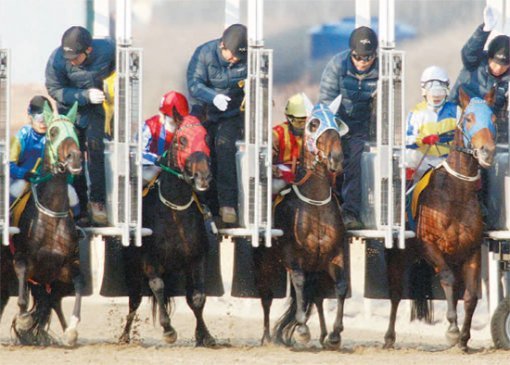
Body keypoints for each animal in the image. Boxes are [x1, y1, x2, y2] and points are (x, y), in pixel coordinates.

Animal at [11, 103, 83, 344]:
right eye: (53, 132)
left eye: (75, 130)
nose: (75, 157)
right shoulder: (23, 260)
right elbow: (22, 296)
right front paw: (23, 322)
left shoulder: (66, 266)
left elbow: (78, 287)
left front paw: (71, 330)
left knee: (52, 301)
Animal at [120, 115, 216, 346]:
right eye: (182, 140)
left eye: (206, 138)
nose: (203, 177)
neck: (175, 211)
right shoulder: (149, 258)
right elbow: (157, 286)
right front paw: (168, 329)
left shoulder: (197, 257)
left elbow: (197, 298)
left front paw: (205, 335)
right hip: (131, 265)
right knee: (134, 299)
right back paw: (125, 335)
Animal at [256, 98, 348, 348]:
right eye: (314, 124)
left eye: (336, 122)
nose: (337, 158)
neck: (315, 204)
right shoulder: (291, 255)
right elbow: (298, 283)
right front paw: (302, 328)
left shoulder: (334, 253)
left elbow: (341, 286)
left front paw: (335, 334)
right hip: (267, 261)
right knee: (267, 296)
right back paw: (267, 336)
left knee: (316, 296)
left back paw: (324, 334)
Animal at [384, 88, 496, 350]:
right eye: (469, 118)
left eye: (494, 118)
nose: (487, 151)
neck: (456, 195)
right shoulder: (429, 245)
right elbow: (446, 278)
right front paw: (453, 329)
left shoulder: (471, 250)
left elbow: (470, 295)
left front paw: (464, 338)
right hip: (399, 256)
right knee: (395, 294)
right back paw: (389, 337)